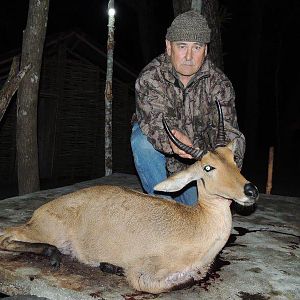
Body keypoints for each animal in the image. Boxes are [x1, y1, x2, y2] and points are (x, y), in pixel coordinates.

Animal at [0, 102, 258, 294]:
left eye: (233, 158)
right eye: (208, 167)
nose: (250, 191)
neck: (197, 222)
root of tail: (38, 213)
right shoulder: (140, 271)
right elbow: (168, 283)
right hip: (47, 231)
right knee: (7, 237)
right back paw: (54, 256)